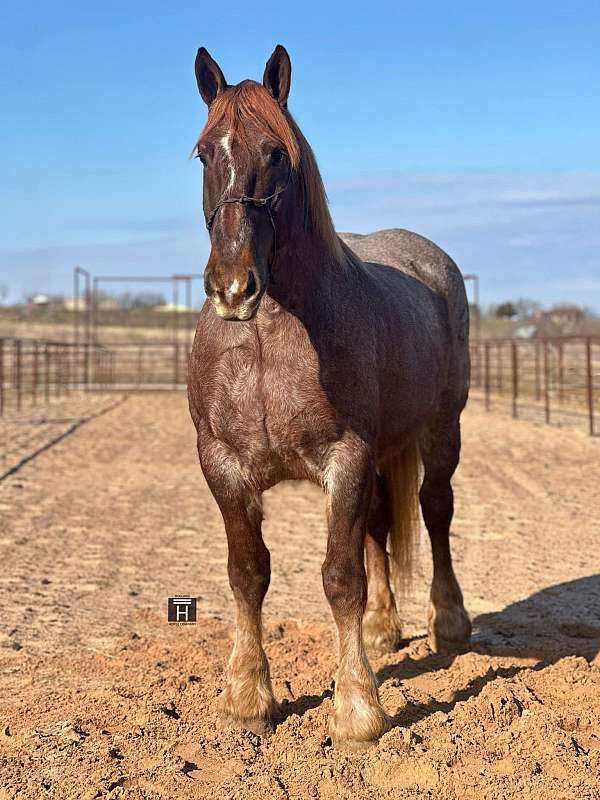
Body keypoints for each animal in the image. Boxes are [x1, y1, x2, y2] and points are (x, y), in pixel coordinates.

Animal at [189, 45, 474, 752]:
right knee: (379, 525)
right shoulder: (224, 468)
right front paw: (247, 698)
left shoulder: (343, 461)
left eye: (276, 153)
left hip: (442, 430)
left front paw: (357, 707)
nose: (233, 287)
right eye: (204, 153)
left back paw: (450, 620)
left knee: (435, 509)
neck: (270, 339)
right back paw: (383, 628)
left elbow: (340, 577)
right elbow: (248, 573)